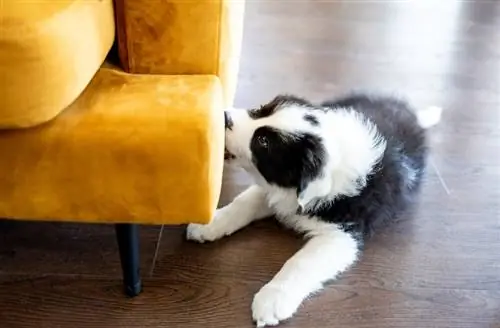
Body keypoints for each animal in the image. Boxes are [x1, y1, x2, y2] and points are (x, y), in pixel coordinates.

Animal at [187, 93, 442, 326]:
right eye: (260, 109)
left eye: (263, 141)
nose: (223, 116)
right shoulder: (278, 193)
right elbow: (243, 203)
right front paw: (208, 224)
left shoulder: (340, 234)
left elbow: (301, 262)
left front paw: (272, 300)